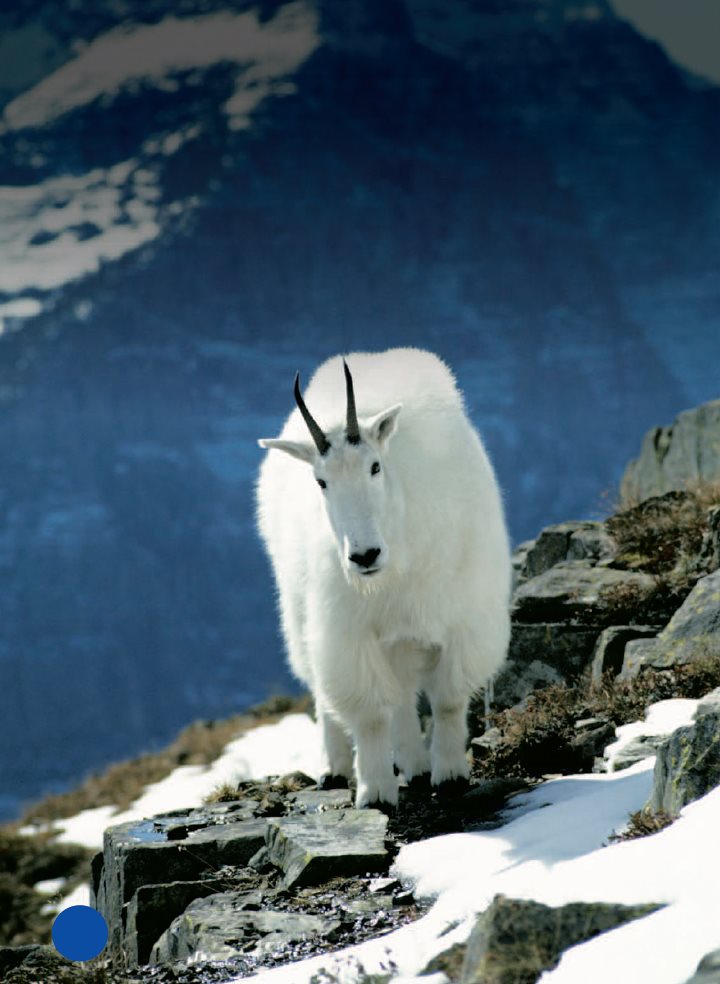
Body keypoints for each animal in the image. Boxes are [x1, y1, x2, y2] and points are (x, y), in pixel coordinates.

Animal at [256, 346, 510, 808]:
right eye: (321, 481)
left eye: (375, 466)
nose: (363, 556)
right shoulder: (348, 633)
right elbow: (371, 714)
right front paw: (375, 791)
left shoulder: (464, 618)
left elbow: (447, 699)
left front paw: (450, 775)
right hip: (300, 613)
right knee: (328, 692)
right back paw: (336, 768)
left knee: (405, 696)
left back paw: (416, 764)